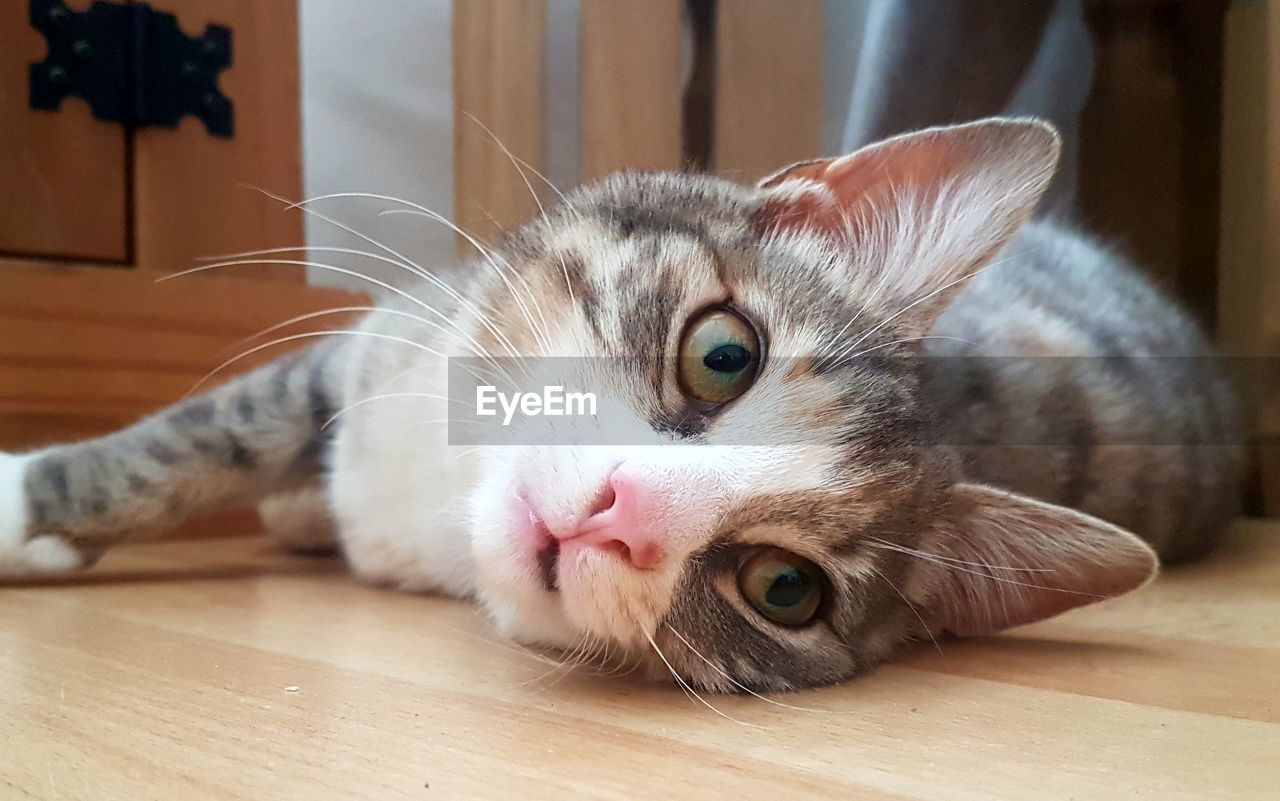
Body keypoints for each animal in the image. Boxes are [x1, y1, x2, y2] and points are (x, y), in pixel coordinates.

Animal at [0, 117, 1239, 685]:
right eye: (723, 355)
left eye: (782, 588)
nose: (620, 510)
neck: (435, 502)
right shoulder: (373, 352)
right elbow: (194, 440)